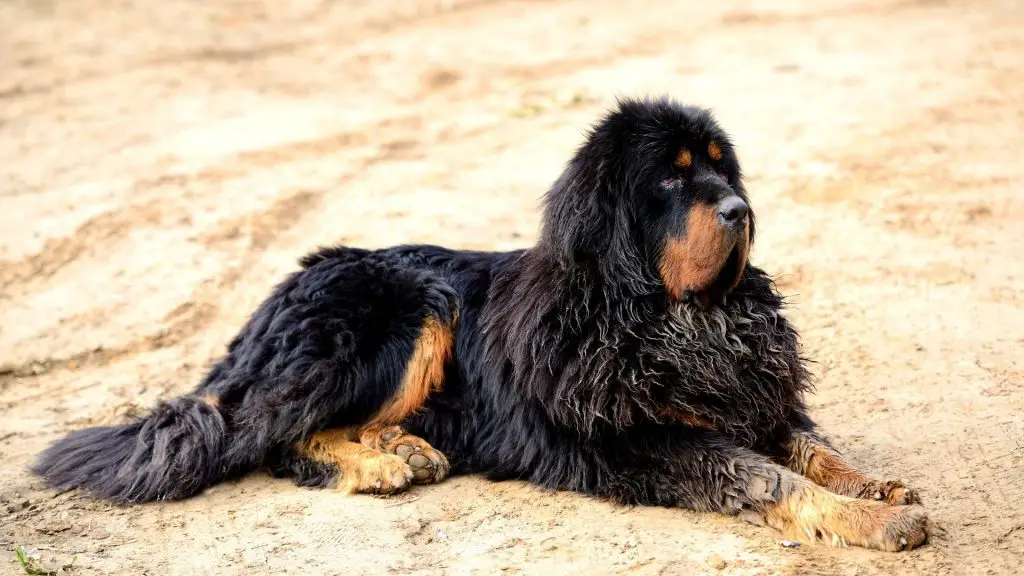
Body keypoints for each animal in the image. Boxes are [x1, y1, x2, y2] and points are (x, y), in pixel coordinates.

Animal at [32, 96, 929, 549]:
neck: (670, 318)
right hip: (407, 303)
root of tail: (270, 301)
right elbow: (766, 475)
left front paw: (876, 487)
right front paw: (873, 521)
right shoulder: (644, 440)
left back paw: (403, 448)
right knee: (273, 437)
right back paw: (379, 464)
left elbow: (812, 448)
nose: (741, 211)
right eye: (673, 180)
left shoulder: (750, 398)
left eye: (722, 168)